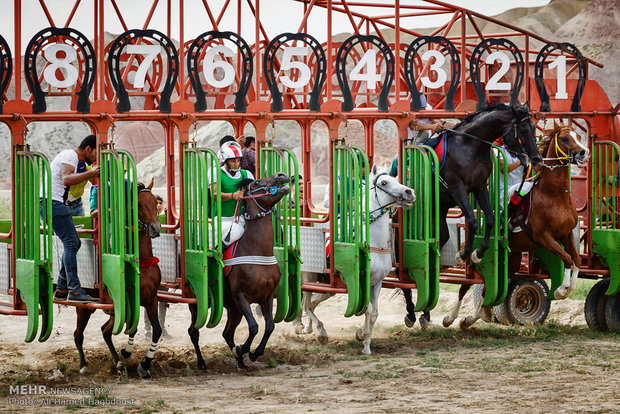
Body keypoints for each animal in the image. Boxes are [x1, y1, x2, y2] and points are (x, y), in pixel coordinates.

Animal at [74, 180, 162, 376]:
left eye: (155, 203)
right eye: (137, 204)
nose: (155, 228)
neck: (142, 261)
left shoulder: (151, 299)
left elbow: (157, 330)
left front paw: (145, 364)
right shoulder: (128, 303)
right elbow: (133, 327)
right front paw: (127, 352)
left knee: (105, 331)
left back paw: (117, 361)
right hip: (85, 307)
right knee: (78, 334)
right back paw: (83, 365)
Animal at [190, 171, 292, 368]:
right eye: (257, 182)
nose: (281, 174)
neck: (257, 249)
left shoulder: (267, 295)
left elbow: (269, 326)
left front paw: (253, 353)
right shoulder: (240, 296)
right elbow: (254, 326)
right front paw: (243, 349)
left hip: (232, 308)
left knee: (227, 333)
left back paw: (240, 361)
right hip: (198, 304)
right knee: (194, 331)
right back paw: (202, 362)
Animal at [294, 163, 414, 354]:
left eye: (396, 178)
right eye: (384, 182)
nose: (409, 192)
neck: (374, 242)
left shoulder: (376, 282)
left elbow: (374, 312)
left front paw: (366, 344)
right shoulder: (356, 283)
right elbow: (367, 308)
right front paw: (362, 335)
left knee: (311, 303)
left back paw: (306, 327)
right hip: (308, 276)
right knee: (306, 304)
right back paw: (318, 332)